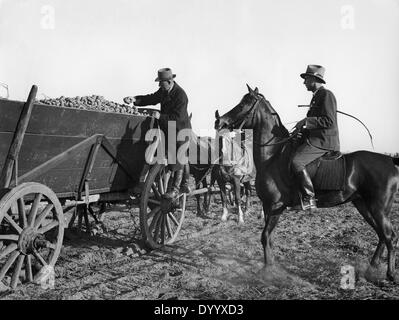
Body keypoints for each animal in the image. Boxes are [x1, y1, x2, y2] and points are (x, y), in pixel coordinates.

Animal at [216, 84, 399, 280]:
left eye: (243, 104)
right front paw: (270, 265)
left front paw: (267, 271)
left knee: (390, 236)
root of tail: (390, 160)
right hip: (363, 205)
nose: (220, 122)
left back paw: (390, 274)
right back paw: (371, 268)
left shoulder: (276, 206)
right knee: (381, 235)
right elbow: (269, 238)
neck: (273, 156)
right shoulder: (267, 206)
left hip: (378, 208)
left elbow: (265, 236)